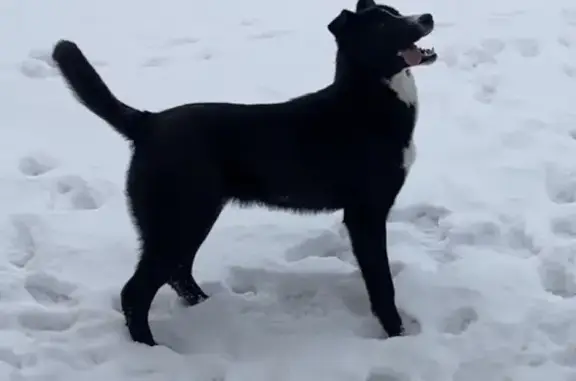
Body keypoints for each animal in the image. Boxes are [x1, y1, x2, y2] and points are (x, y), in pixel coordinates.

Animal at [51, 0, 436, 344]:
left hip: (192, 217)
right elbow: (382, 284)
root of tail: (148, 122)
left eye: (396, 11)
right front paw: (398, 336)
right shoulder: (365, 214)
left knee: (178, 273)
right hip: (178, 220)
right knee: (136, 292)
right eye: (383, 24)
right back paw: (150, 349)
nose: (428, 16)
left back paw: (205, 307)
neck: (365, 100)